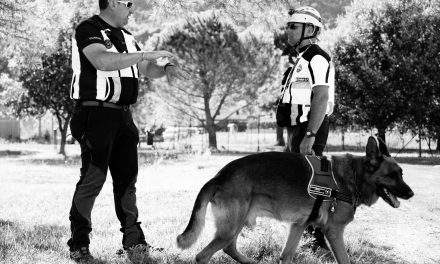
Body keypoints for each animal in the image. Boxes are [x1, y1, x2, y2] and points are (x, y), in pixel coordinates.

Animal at [177, 137, 414, 262]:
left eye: (401, 173)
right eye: (393, 175)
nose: (411, 194)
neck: (353, 175)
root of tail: (219, 175)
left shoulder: (298, 225)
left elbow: (286, 255)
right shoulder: (334, 231)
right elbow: (345, 259)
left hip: (237, 223)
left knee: (229, 248)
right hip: (230, 227)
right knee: (203, 255)